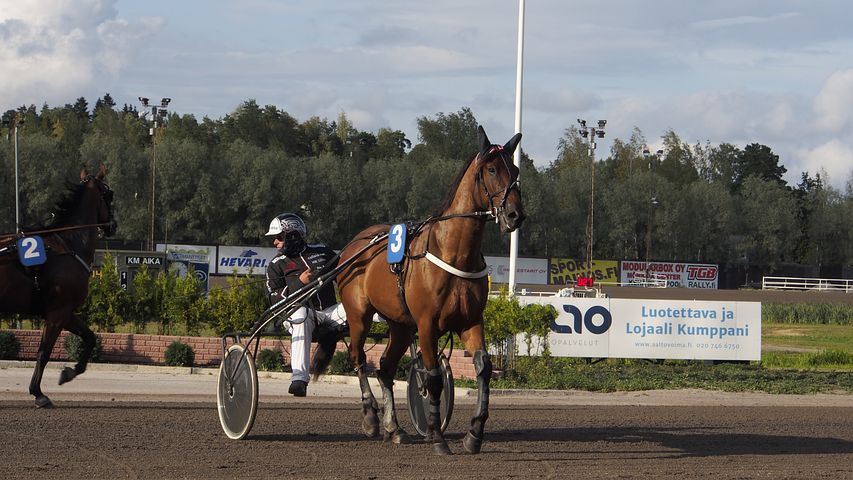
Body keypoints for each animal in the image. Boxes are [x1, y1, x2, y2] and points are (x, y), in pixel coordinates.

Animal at [0, 167, 115, 406]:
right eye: (109, 195)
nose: (113, 225)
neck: (69, 244)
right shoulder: (58, 312)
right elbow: (44, 352)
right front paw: (38, 393)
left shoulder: (65, 311)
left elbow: (90, 338)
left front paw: (69, 372)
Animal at [330, 125, 524, 456]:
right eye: (492, 169)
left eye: (516, 170)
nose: (515, 215)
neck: (453, 252)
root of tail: (353, 245)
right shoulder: (427, 324)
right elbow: (432, 377)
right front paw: (436, 434)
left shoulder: (471, 321)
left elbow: (484, 368)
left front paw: (474, 434)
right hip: (359, 316)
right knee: (358, 358)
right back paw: (371, 418)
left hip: (400, 324)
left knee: (384, 368)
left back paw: (395, 428)